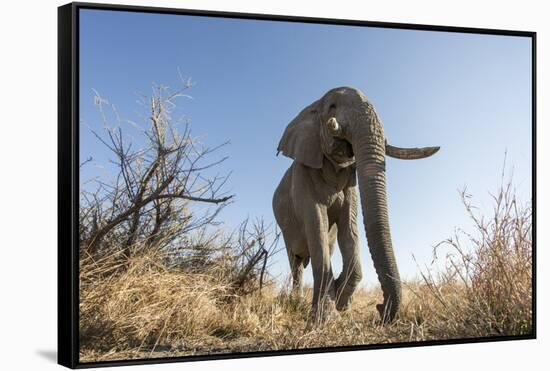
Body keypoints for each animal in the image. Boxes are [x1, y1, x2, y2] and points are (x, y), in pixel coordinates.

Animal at [274, 85, 442, 324]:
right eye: (332, 106)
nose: (380, 308)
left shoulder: (349, 184)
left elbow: (349, 230)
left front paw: (341, 301)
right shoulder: (303, 175)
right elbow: (317, 225)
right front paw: (326, 318)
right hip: (285, 230)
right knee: (296, 263)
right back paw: (295, 302)